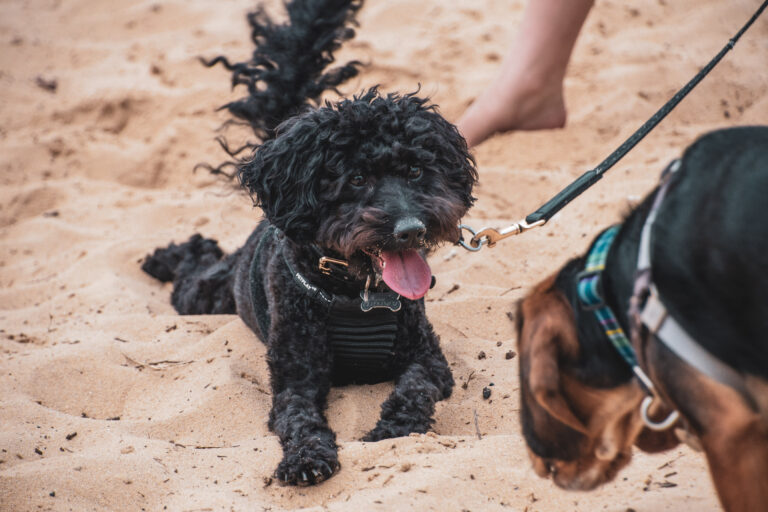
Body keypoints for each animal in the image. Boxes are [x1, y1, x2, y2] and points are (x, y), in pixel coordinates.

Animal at [142, 0, 476, 484]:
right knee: (195, 269)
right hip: (206, 295)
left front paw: (394, 428)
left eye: (416, 170)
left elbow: (415, 388)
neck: (358, 294)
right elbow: (299, 418)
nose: (411, 229)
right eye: (355, 179)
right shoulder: (296, 377)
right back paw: (166, 258)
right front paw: (305, 457)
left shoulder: (429, 358)